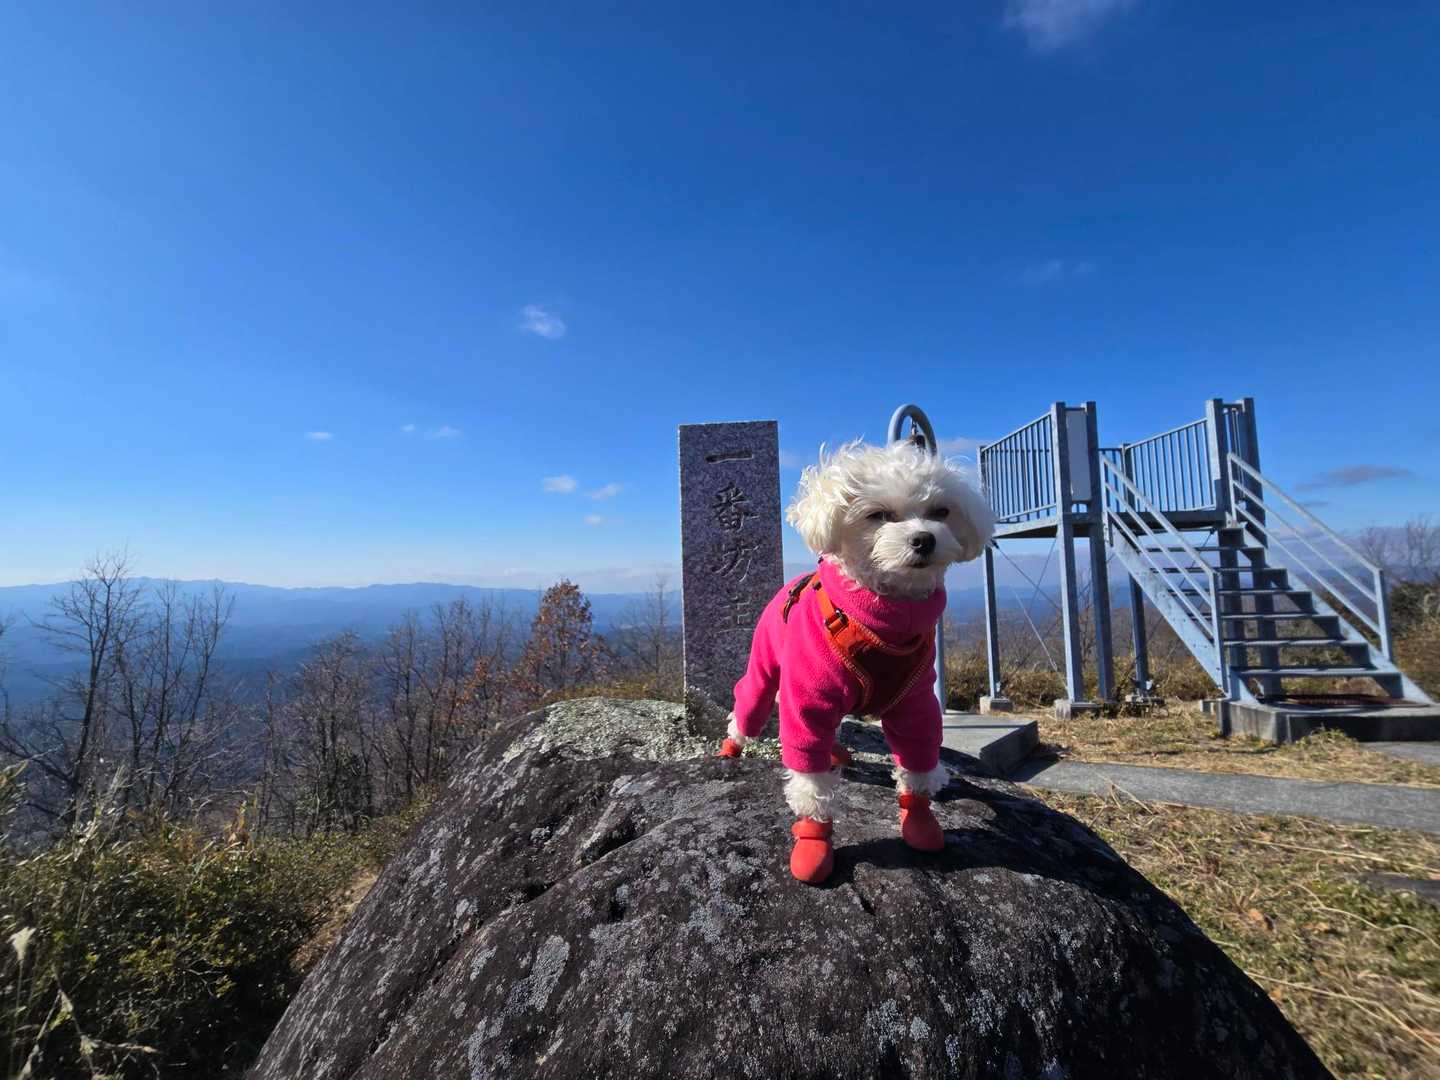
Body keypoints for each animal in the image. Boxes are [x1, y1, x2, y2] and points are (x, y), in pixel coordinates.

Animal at [717, 439, 994, 884]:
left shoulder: (916, 702)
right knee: (749, 705)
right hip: (763, 670)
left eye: (941, 512)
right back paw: (732, 745)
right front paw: (814, 841)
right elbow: (810, 779)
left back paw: (838, 753)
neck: (882, 618)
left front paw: (920, 821)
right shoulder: (808, 699)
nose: (924, 540)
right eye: (878, 515)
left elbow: (917, 761)